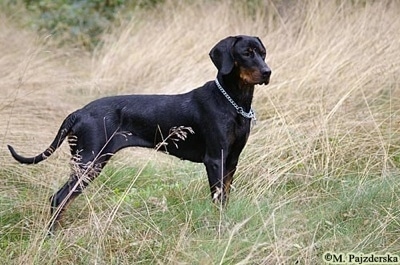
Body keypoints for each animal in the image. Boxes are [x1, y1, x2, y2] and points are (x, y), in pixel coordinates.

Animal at [7, 35, 272, 231]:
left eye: (263, 52)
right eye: (246, 53)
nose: (268, 71)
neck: (233, 102)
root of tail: (79, 112)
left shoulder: (232, 160)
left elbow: (225, 197)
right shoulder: (215, 159)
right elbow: (218, 200)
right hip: (89, 161)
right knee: (59, 198)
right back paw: (51, 235)